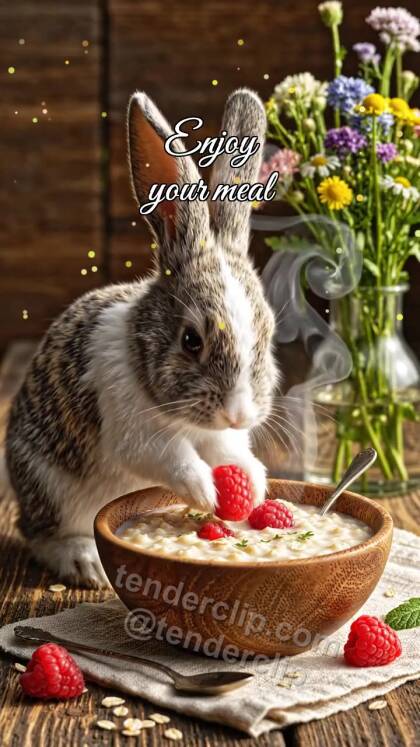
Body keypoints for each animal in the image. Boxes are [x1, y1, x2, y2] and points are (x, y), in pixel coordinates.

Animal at [5, 88, 278, 588]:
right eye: (191, 340)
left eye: (266, 336)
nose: (237, 413)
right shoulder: (134, 430)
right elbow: (170, 456)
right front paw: (206, 492)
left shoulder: (220, 440)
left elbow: (229, 453)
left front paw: (250, 487)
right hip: (50, 489)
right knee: (42, 535)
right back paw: (85, 563)